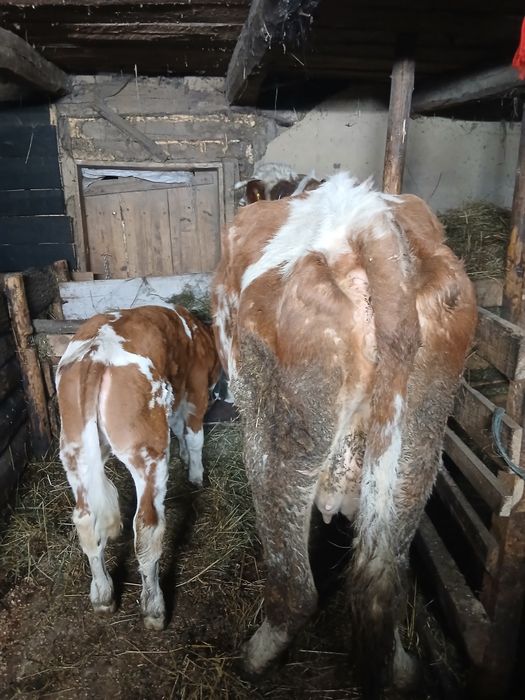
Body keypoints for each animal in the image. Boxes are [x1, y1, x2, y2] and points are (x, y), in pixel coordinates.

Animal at [57, 305, 220, 630]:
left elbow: (180, 431)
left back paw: (103, 595)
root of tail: (96, 353)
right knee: (146, 526)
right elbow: (193, 436)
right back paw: (154, 608)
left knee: (86, 520)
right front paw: (196, 475)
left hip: (74, 452)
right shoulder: (195, 392)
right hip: (148, 453)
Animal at [212, 172, 477, 696]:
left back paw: (254, 658)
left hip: (281, 439)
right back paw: (402, 670)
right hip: (420, 445)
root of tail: (370, 224)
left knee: (296, 587)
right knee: (382, 584)